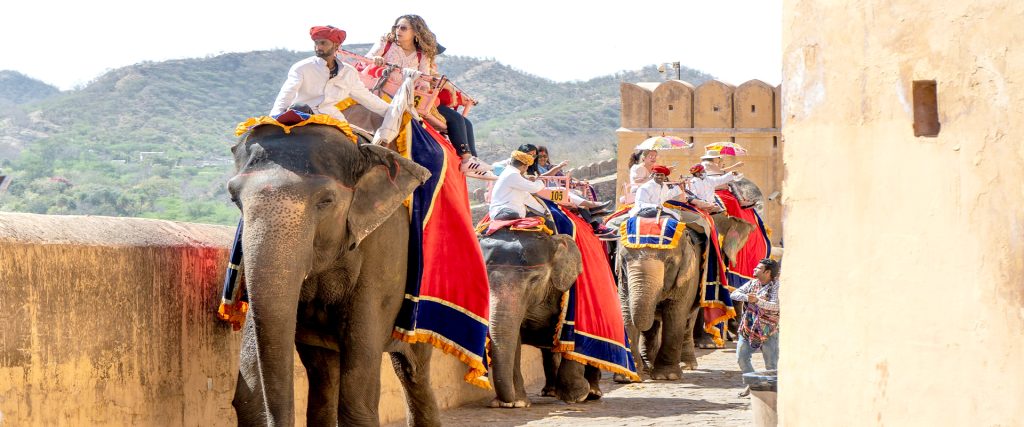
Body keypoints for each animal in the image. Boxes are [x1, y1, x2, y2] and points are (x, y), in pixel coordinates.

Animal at [226, 121, 438, 423]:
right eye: (234, 198)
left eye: (326, 201)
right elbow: (248, 395)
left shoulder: (382, 247)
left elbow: (357, 395)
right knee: (324, 379)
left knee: (413, 372)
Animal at [477, 228, 598, 403]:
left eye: (535, 280)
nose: (506, 399)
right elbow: (515, 337)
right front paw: (517, 403)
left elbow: (575, 339)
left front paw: (577, 395)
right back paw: (550, 392)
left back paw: (593, 392)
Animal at [610, 211, 757, 378]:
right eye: (623, 260)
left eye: (669, 262)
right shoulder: (623, 278)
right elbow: (626, 311)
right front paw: (627, 377)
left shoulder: (689, 275)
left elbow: (675, 314)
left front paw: (667, 376)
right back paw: (648, 367)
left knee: (687, 320)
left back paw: (686, 364)